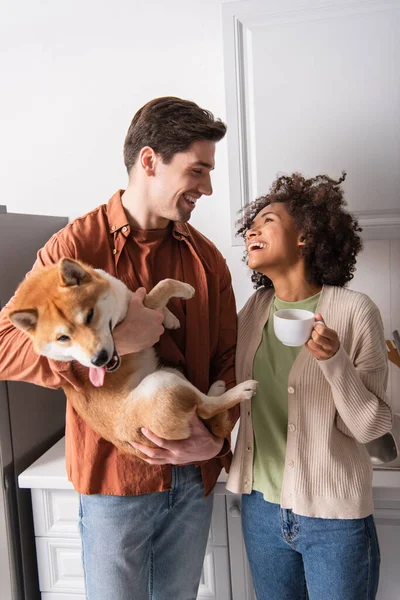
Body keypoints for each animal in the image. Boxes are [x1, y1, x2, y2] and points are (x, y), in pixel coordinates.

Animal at [10, 258, 260, 460]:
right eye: (63, 338)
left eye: (89, 316)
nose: (99, 360)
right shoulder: (143, 306)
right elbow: (162, 286)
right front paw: (184, 289)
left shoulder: (133, 298)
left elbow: (150, 294)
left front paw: (169, 318)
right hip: (162, 382)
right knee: (206, 408)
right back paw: (240, 390)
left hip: (170, 373)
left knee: (203, 406)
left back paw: (216, 388)